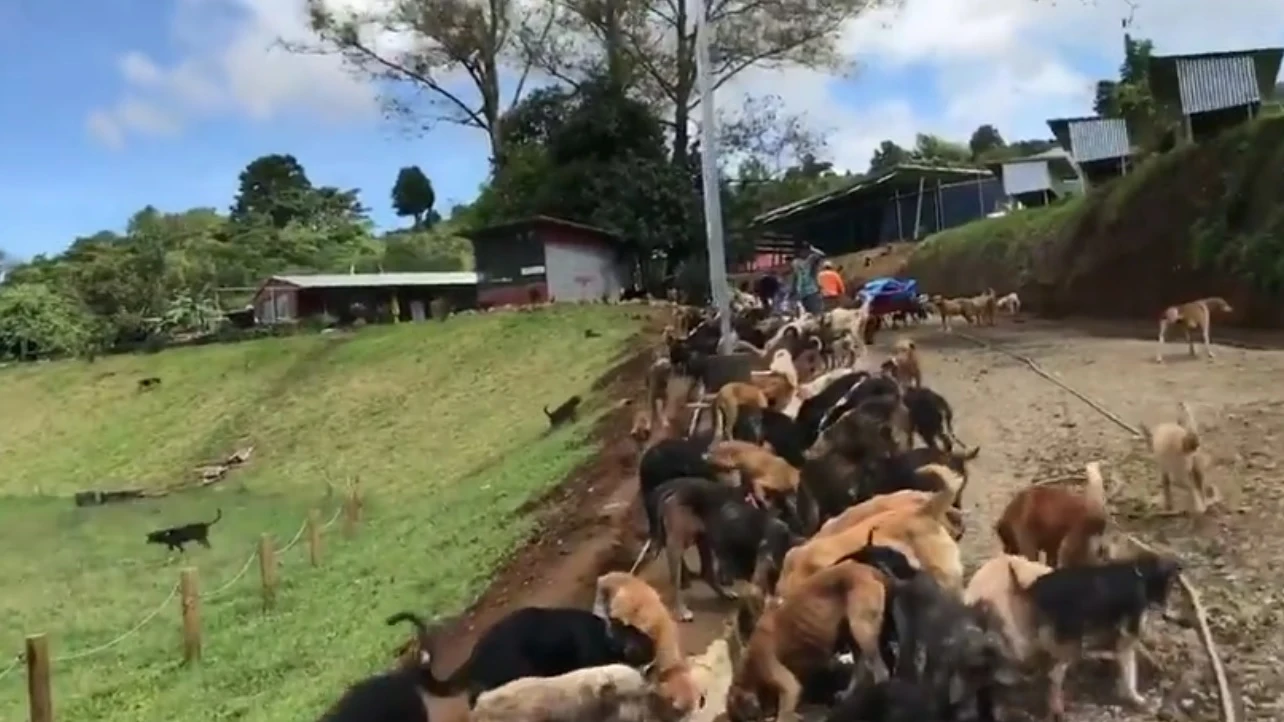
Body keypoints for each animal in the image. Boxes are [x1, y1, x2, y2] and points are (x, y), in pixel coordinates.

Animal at [729, 560, 888, 719]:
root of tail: (868, 569)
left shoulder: (766, 664)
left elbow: (789, 697)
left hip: (861, 628)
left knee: (880, 671)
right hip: (850, 631)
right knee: (860, 665)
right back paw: (848, 694)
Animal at [1006, 549, 1176, 714]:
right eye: (1164, 587)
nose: (1163, 607)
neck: (1138, 573)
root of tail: (1034, 588)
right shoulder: (1130, 626)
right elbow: (1128, 660)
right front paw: (1135, 697)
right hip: (1070, 638)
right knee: (1055, 672)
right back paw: (1056, 705)